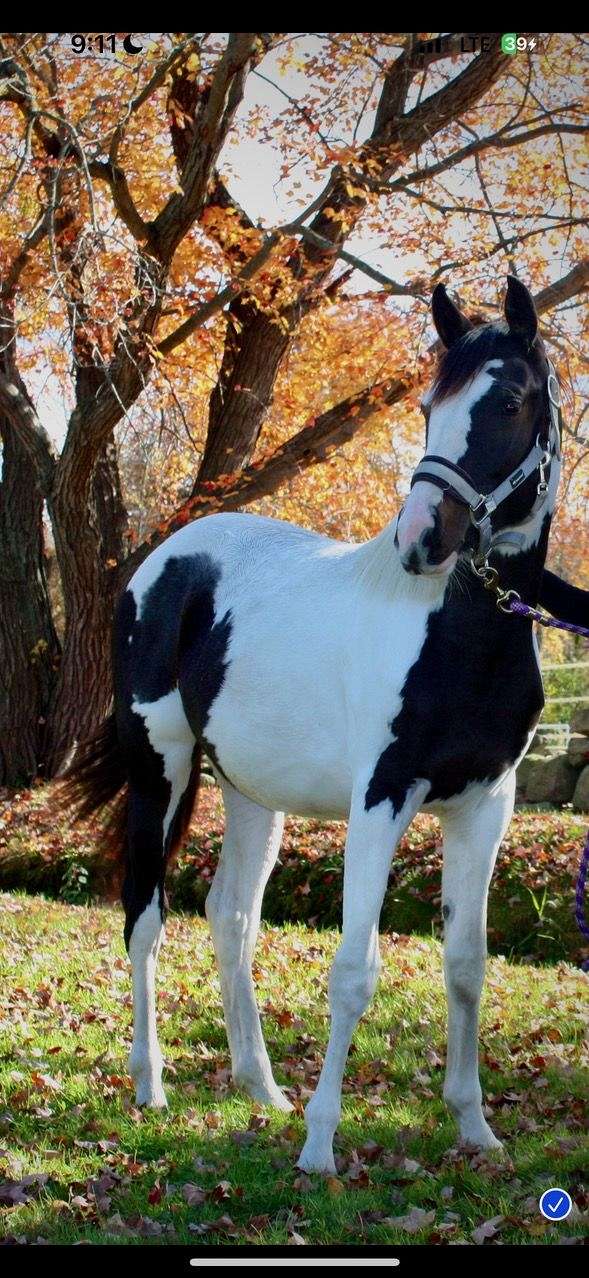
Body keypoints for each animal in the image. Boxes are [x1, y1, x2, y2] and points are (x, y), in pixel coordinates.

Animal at [63, 279, 559, 1175]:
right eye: (428, 404)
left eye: (507, 400)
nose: (419, 540)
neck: (457, 632)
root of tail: (163, 560)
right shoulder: (381, 800)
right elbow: (353, 971)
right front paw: (322, 1146)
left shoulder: (485, 805)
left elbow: (466, 965)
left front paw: (473, 1127)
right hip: (163, 771)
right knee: (144, 916)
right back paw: (151, 1085)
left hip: (250, 793)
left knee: (230, 917)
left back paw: (259, 1086)